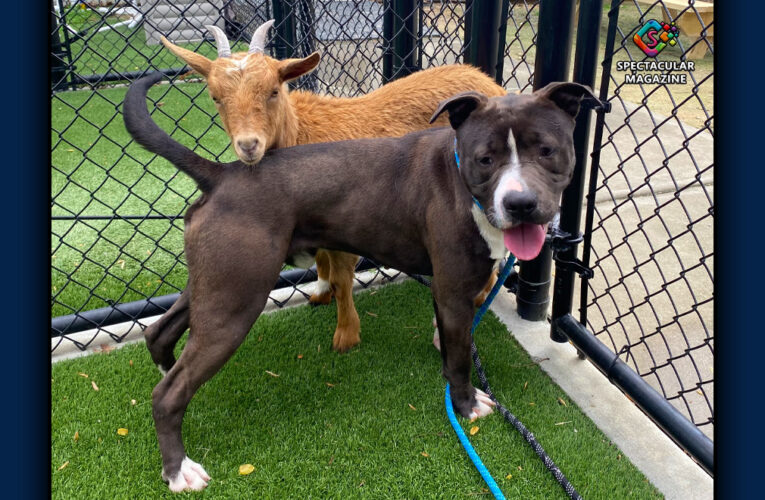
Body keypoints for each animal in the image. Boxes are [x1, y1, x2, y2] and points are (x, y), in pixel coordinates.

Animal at [122, 72, 592, 490]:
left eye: (547, 151)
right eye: (485, 158)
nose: (520, 203)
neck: (460, 177)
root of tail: (223, 174)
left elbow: (451, 341)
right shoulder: (455, 290)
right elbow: (459, 359)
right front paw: (465, 404)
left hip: (216, 285)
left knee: (160, 333)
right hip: (235, 303)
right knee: (168, 393)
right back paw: (178, 471)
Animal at [147, 20, 508, 364]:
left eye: (273, 91)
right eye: (215, 97)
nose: (249, 145)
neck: (301, 133)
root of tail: (491, 83)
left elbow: (342, 279)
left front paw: (346, 336)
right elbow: (321, 263)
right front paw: (320, 294)